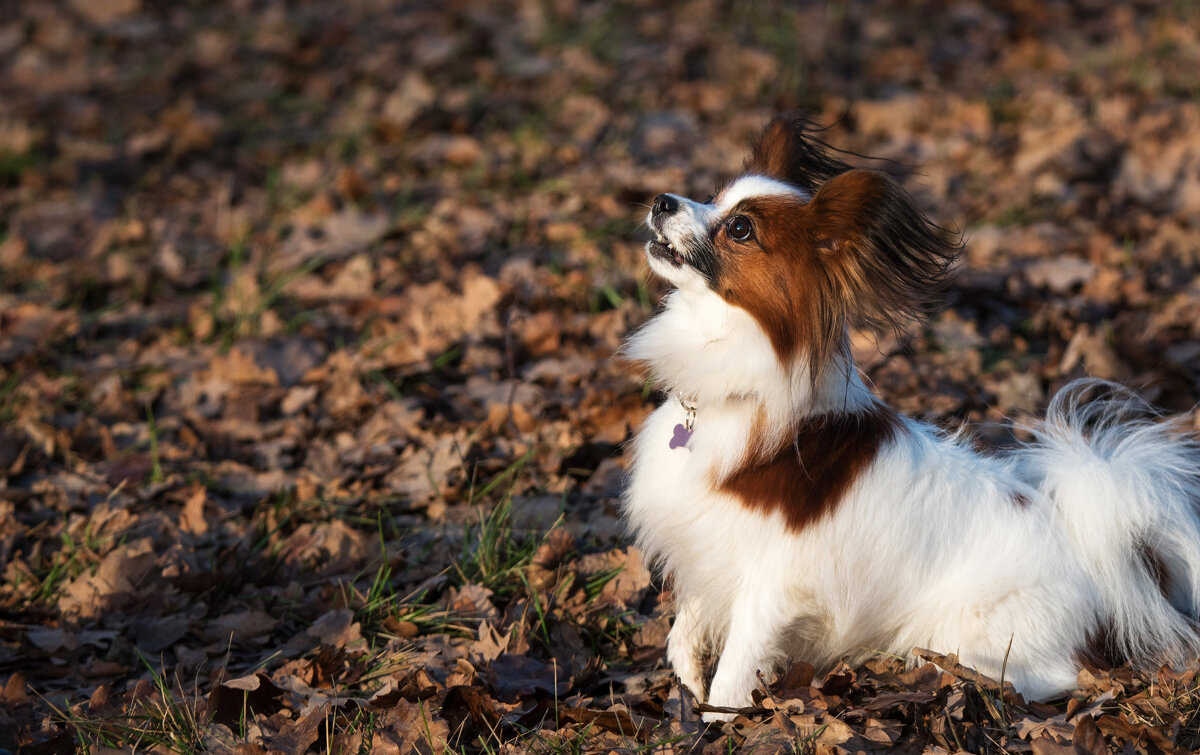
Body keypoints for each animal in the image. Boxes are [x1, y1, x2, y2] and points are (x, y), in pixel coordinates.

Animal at [624, 114, 1200, 720]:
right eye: (712, 197)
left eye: (739, 228)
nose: (662, 201)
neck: (735, 383)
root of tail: (1087, 547)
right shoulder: (704, 547)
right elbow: (687, 625)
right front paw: (685, 679)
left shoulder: (770, 585)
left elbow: (736, 670)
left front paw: (720, 722)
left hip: (969, 633)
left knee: (1048, 677)